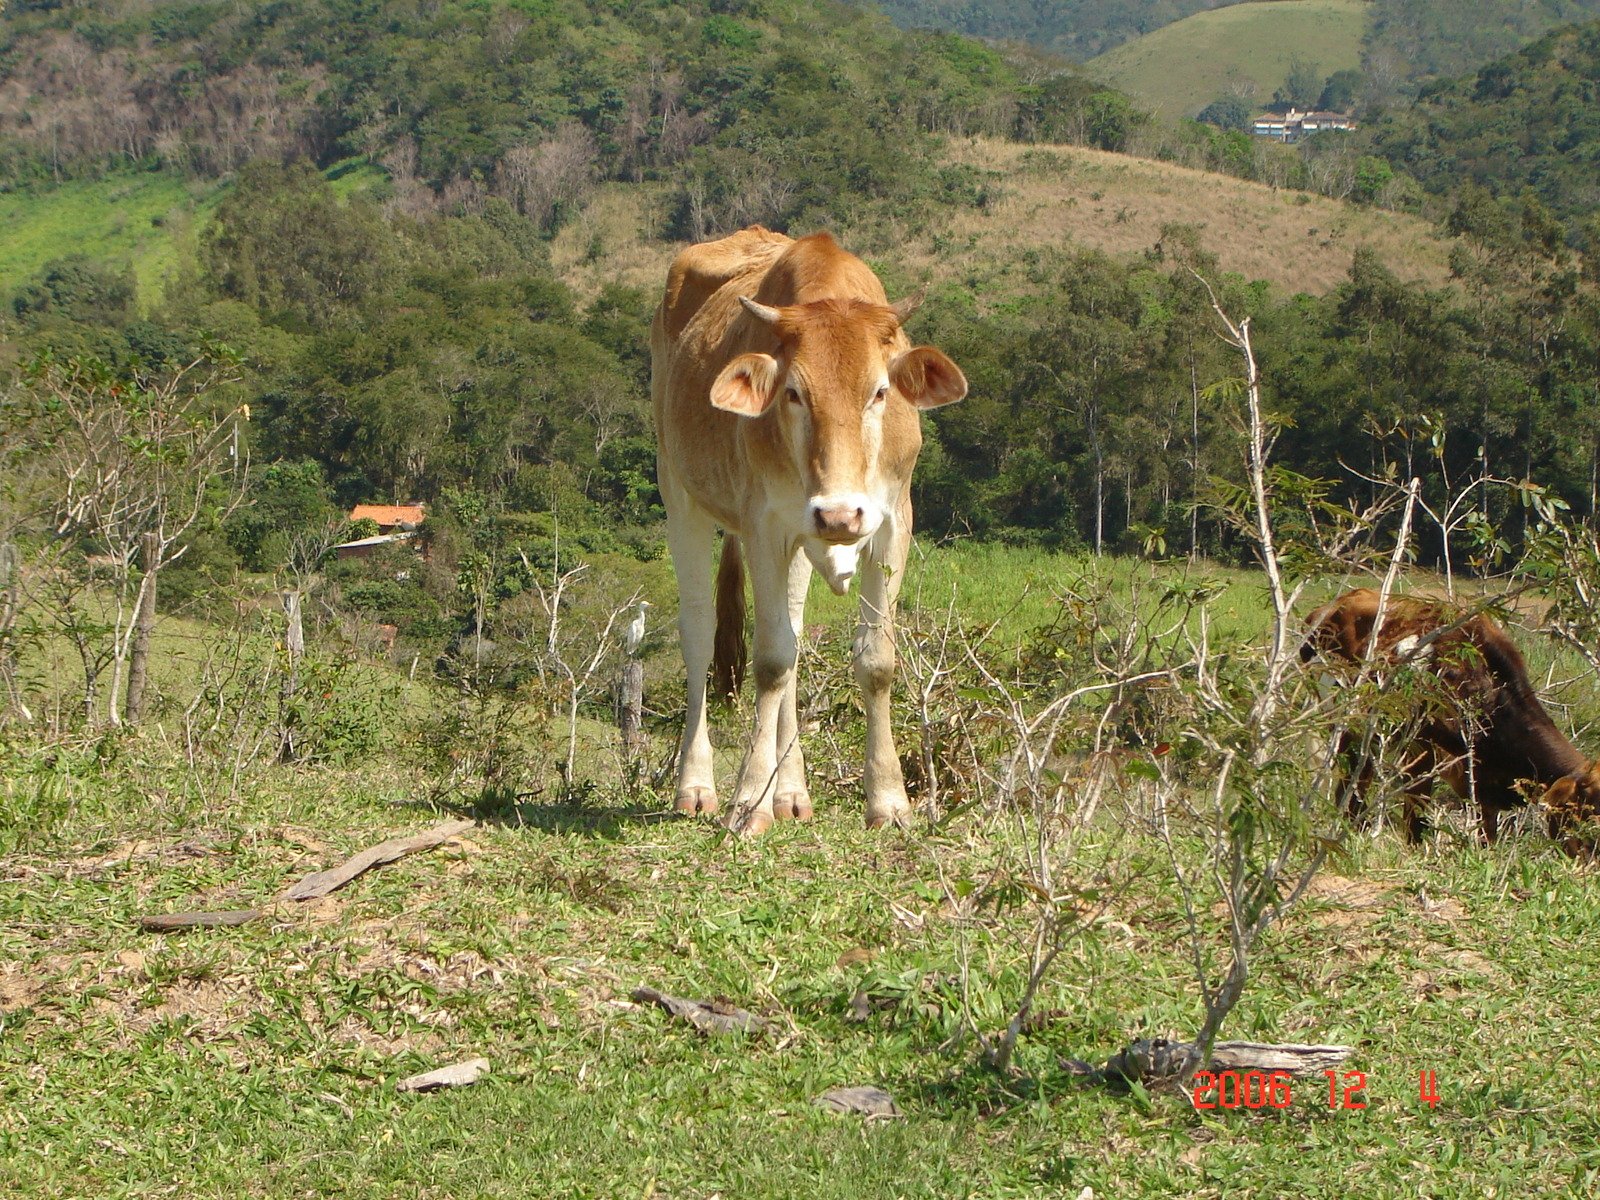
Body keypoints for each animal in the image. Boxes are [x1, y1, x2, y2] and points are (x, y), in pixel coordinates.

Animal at [649, 230, 960, 838]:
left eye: (880, 391)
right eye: (793, 392)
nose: (838, 516)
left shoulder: (892, 522)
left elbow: (874, 659)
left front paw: (889, 800)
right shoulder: (764, 526)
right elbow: (770, 661)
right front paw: (749, 800)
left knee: (791, 634)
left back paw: (791, 793)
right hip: (679, 493)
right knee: (700, 635)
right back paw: (696, 786)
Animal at [1299, 588, 1600, 851]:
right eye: (1588, 812)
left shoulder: (1484, 789)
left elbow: (1486, 835)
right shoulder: (1422, 749)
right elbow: (1416, 816)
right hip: (1345, 719)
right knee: (1350, 786)